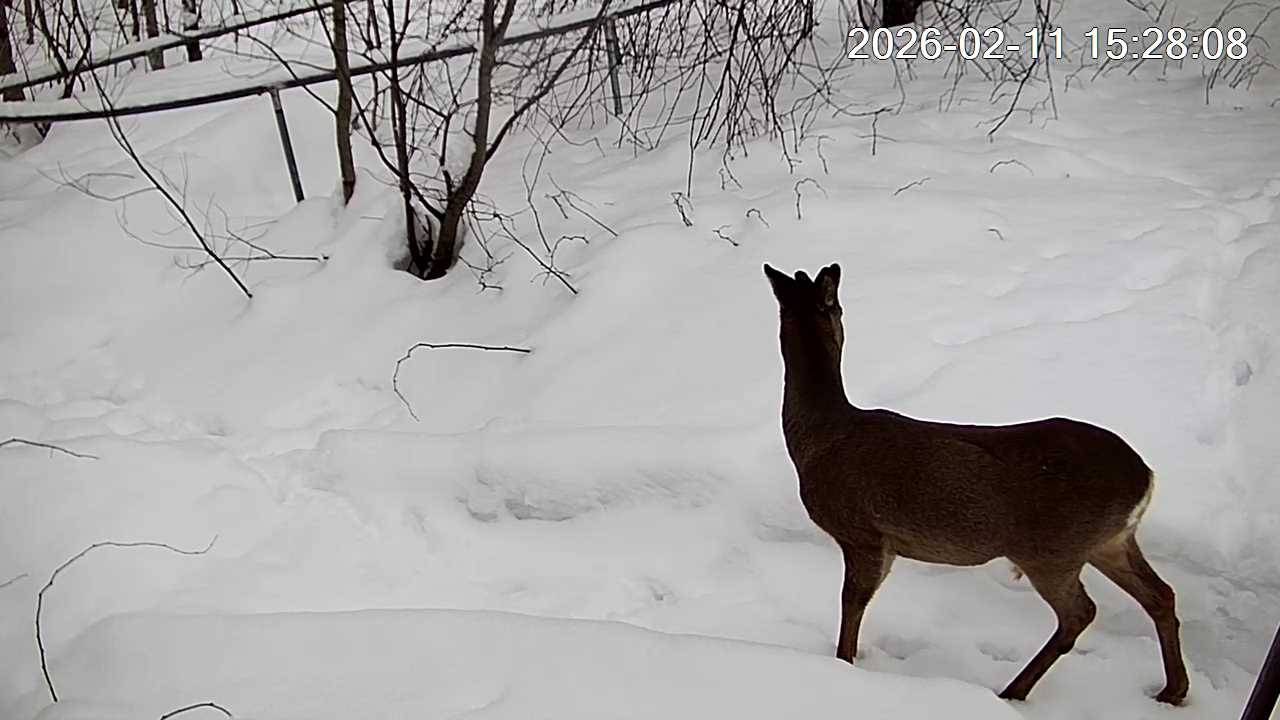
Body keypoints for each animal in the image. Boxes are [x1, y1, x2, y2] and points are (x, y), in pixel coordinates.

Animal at [763, 262, 1190, 705]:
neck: (822, 436)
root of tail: (1145, 477)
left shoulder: (863, 533)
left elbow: (852, 602)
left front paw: (844, 664)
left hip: (1051, 550)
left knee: (1080, 613)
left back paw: (1013, 692)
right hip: (1108, 542)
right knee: (1161, 594)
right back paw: (1172, 690)